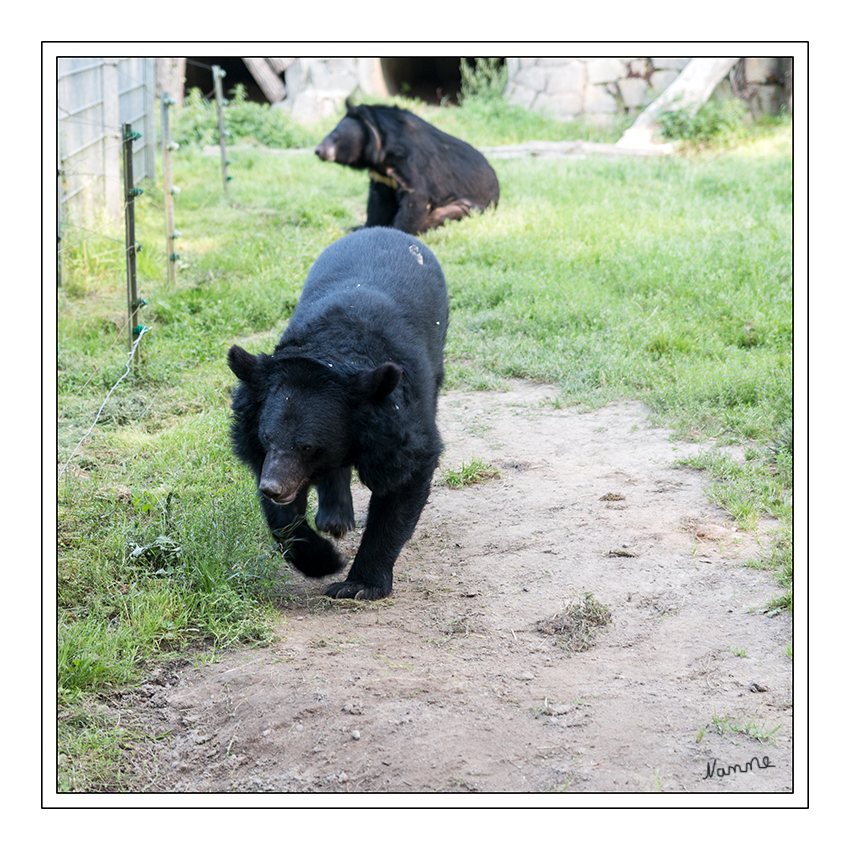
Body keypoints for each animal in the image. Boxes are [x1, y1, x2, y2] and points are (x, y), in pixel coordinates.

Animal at [225, 225, 450, 596]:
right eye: (267, 437)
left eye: (307, 447)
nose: (273, 487)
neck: (334, 349)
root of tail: (382, 229)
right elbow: (282, 518)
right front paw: (324, 560)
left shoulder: (397, 420)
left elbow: (404, 480)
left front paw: (359, 585)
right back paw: (335, 518)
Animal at [314, 100, 496, 235]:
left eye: (334, 135)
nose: (317, 150)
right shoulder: (382, 178)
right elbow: (378, 203)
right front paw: (364, 227)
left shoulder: (413, 163)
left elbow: (416, 197)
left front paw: (397, 231)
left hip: (467, 205)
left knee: (445, 214)